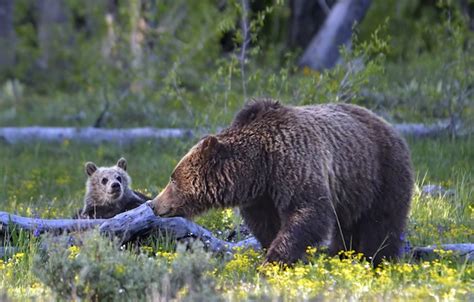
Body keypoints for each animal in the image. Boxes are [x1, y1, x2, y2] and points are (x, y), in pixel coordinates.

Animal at [150, 99, 412, 264]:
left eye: (173, 179)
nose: (154, 204)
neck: (261, 167)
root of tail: (389, 125)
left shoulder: (295, 166)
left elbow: (307, 212)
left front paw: (274, 261)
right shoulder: (260, 197)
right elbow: (265, 225)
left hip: (382, 172)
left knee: (382, 222)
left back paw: (376, 259)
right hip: (353, 189)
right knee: (347, 226)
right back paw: (341, 254)